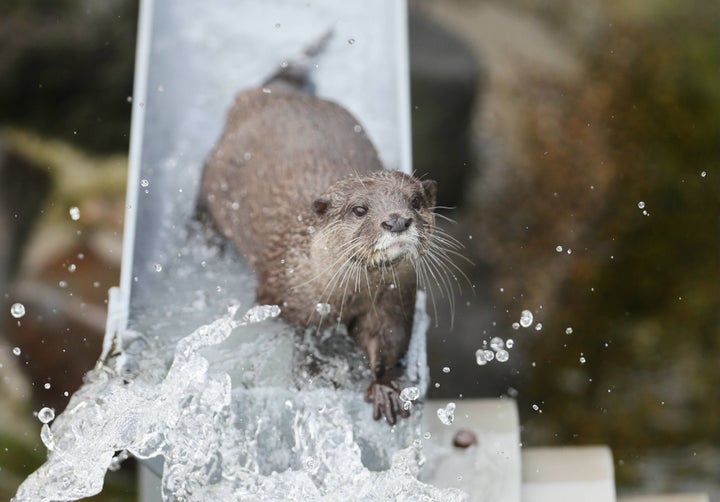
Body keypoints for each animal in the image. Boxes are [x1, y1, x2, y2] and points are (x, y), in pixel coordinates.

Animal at [200, 53, 442, 426]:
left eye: (415, 202)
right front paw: (315, 370)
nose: (397, 220)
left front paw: (387, 386)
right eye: (359, 209)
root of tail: (263, 95)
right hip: (213, 171)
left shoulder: (394, 301)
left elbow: (389, 343)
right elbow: (307, 336)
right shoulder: (288, 299)